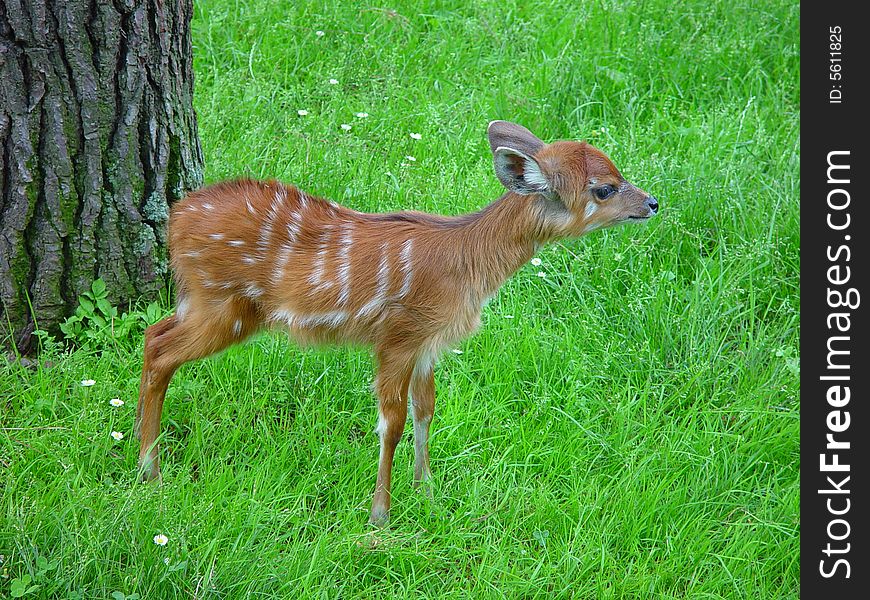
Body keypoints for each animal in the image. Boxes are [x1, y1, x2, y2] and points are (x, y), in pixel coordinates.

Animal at [136, 122, 656, 524]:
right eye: (604, 187)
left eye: (617, 172)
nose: (652, 203)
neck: (466, 264)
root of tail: (177, 217)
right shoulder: (398, 336)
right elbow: (393, 421)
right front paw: (380, 516)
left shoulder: (429, 344)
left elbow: (427, 409)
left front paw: (428, 492)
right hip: (224, 304)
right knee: (161, 350)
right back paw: (151, 473)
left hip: (205, 303)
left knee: (152, 332)